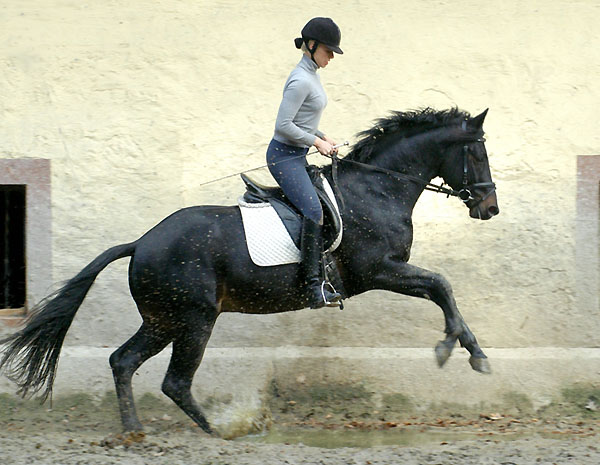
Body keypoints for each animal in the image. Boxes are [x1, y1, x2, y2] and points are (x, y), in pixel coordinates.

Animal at [0, 107, 496, 434]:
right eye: (476, 152)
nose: (489, 207)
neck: (378, 187)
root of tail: (141, 243)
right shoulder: (378, 271)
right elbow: (440, 284)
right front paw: (454, 348)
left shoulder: (385, 272)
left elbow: (442, 290)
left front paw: (472, 350)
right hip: (193, 319)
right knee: (174, 381)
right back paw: (222, 431)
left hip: (163, 319)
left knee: (123, 361)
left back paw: (134, 430)